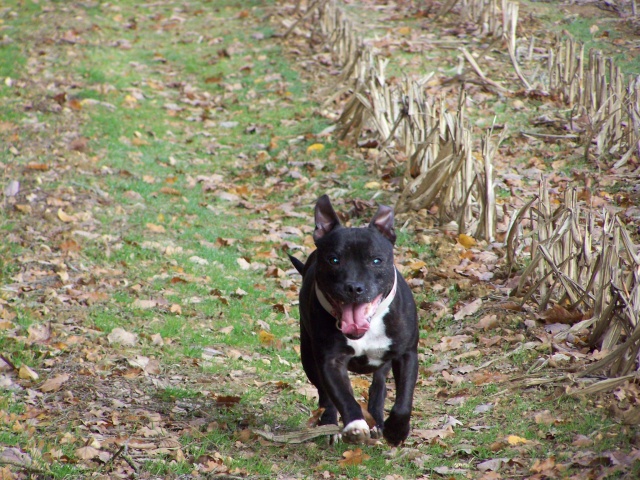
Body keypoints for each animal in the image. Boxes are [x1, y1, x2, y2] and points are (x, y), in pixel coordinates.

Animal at [290, 195, 420, 446]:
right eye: (334, 259)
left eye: (376, 260)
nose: (354, 287)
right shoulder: (330, 361)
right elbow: (342, 396)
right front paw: (355, 425)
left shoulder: (407, 354)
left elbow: (403, 401)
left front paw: (397, 430)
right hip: (308, 356)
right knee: (324, 396)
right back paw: (330, 425)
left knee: (379, 384)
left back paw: (378, 421)